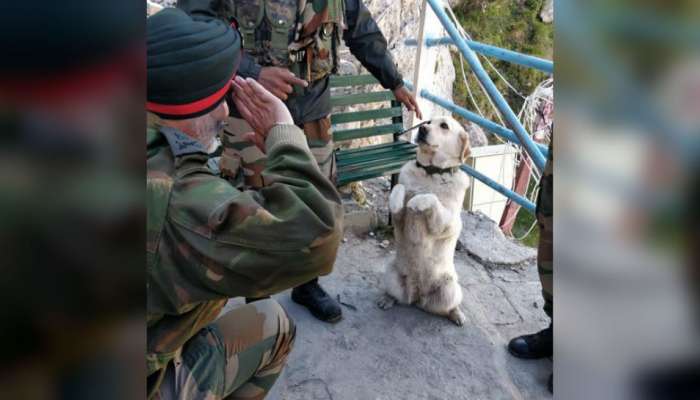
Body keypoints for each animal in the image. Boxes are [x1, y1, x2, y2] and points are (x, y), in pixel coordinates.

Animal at [378, 115, 470, 324]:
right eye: (427, 122)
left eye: (444, 126)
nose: (422, 130)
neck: (430, 171)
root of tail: (417, 296)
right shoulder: (399, 219)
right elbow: (399, 188)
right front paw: (402, 198)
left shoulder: (446, 223)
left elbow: (431, 198)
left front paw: (417, 201)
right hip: (390, 273)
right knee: (398, 296)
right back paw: (388, 299)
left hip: (450, 289)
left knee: (446, 308)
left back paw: (457, 314)